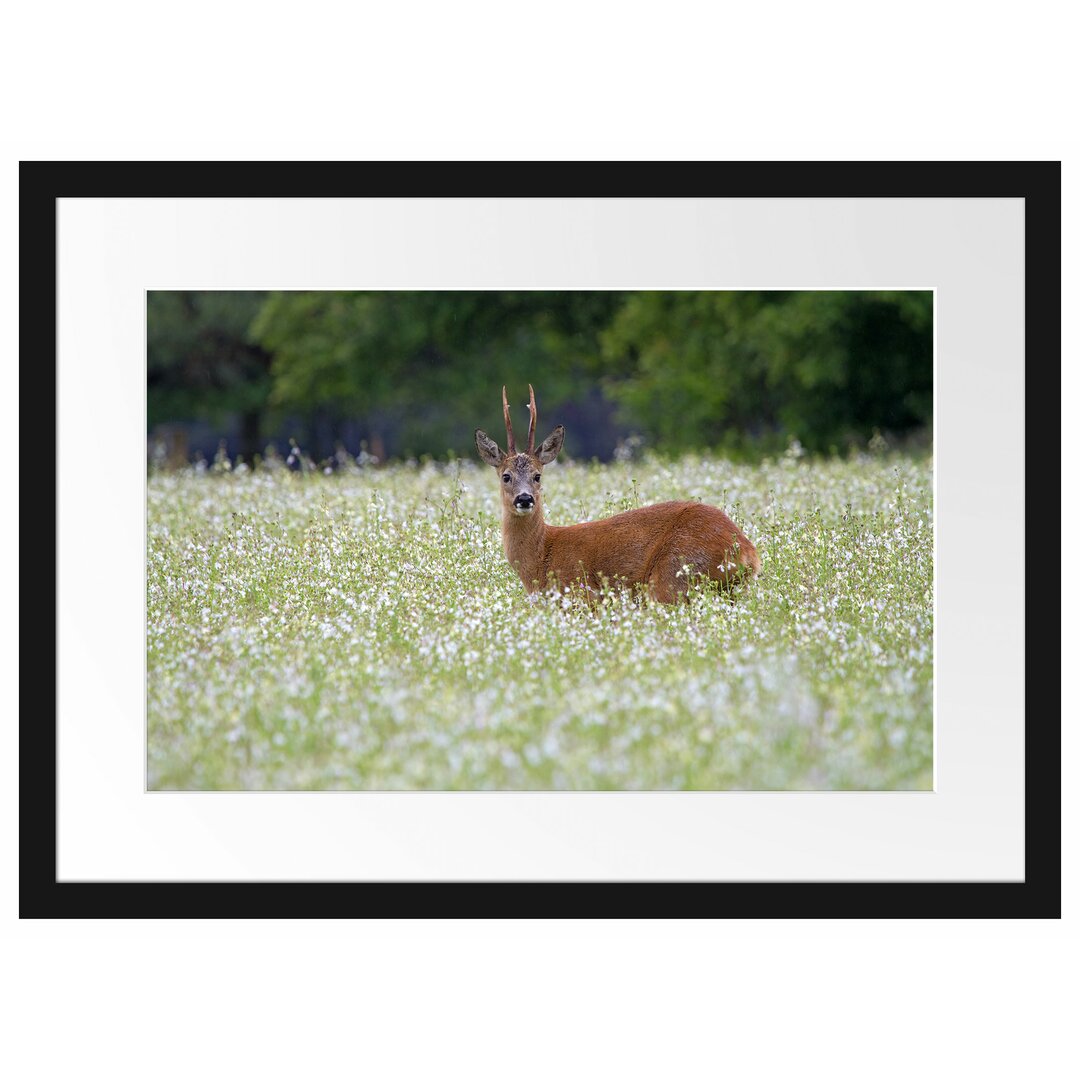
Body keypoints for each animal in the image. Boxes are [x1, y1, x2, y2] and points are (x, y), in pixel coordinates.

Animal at [473, 382, 760, 600]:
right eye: (506, 476)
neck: (542, 557)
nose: (524, 498)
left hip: (674, 576)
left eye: (537, 476)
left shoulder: (582, 596)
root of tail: (748, 552)